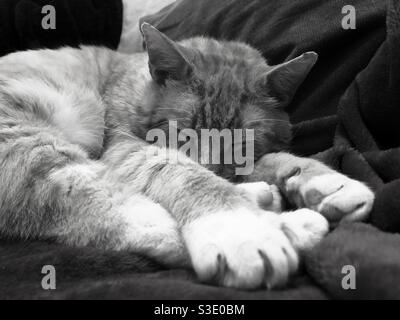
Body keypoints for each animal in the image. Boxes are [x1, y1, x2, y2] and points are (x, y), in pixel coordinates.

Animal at [0, 23, 376, 290]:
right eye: (184, 132)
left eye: (242, 141)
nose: (210, 164)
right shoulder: (122, 148)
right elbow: (184, 174)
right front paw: (239, 227)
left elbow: (274, 160)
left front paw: (328, 182)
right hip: (29, 145)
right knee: (120, 219)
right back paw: (283, 225)